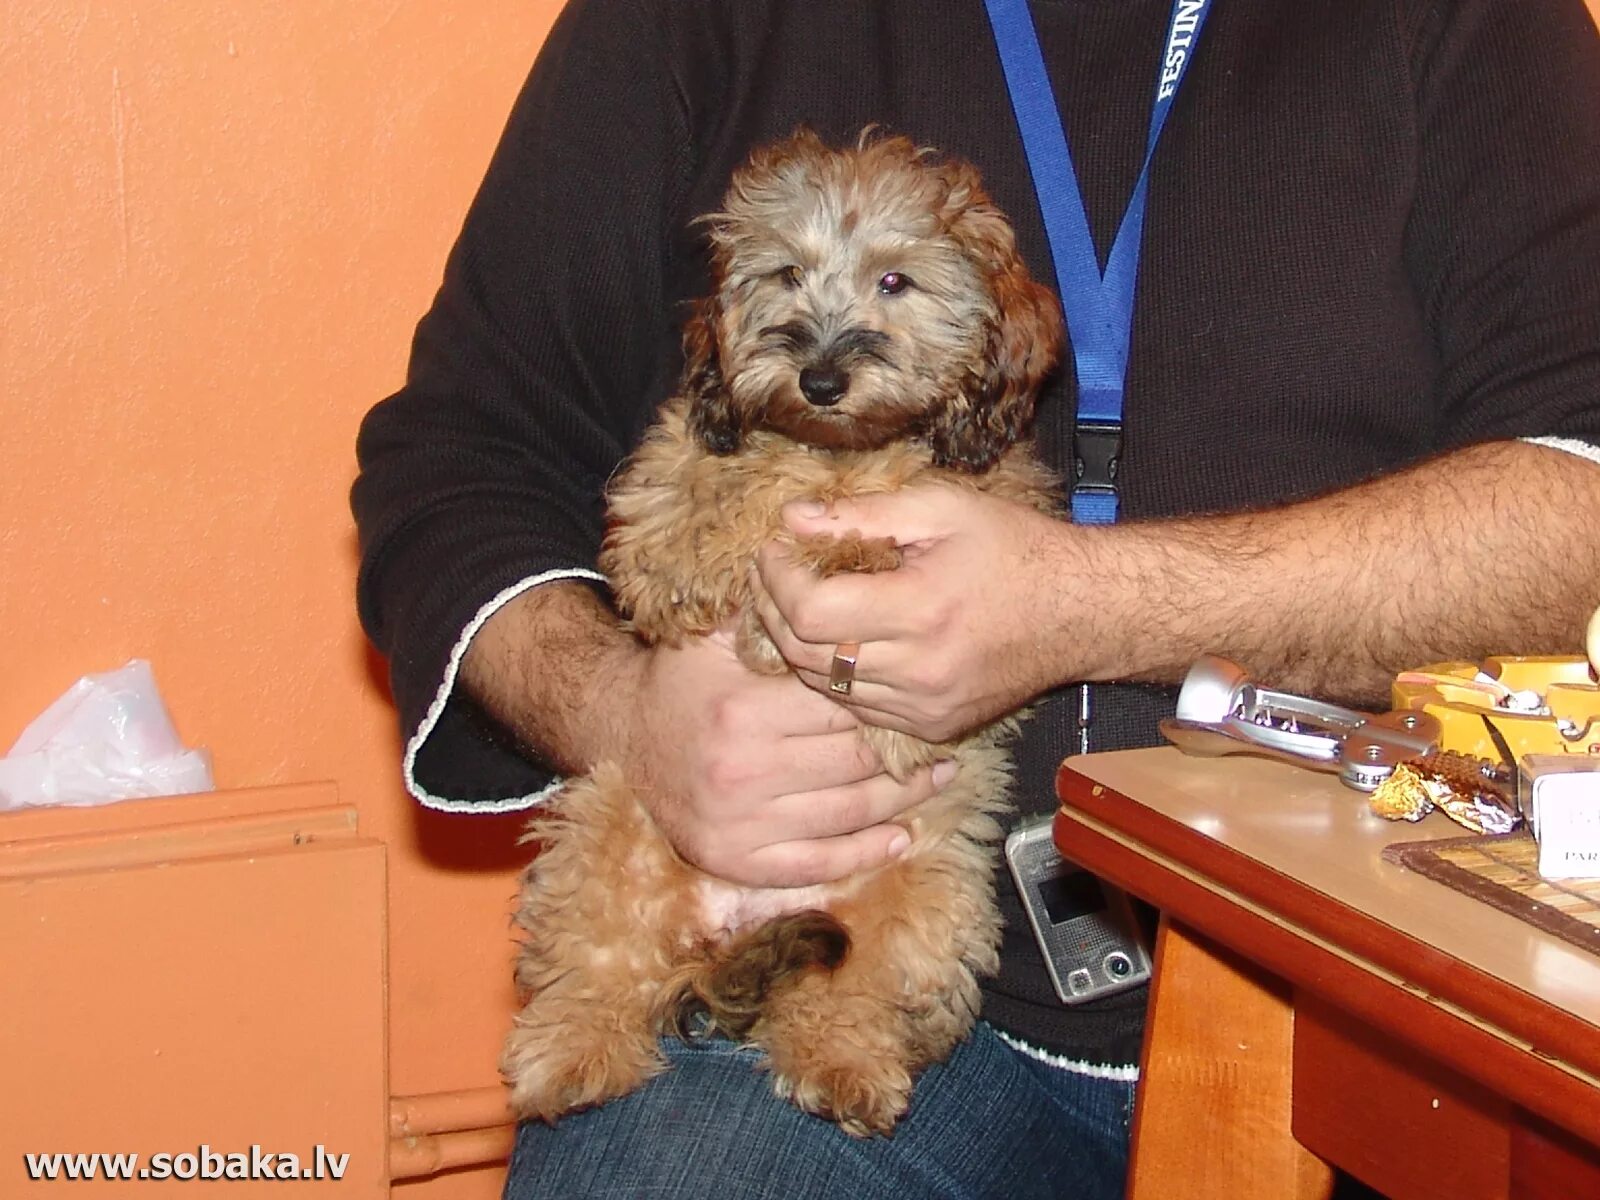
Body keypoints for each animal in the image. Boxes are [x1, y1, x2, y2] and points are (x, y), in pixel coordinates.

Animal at [502, 129, 1062, 1139]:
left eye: (895, 282)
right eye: (784, 273)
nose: (821, 379)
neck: (835, 447)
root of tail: (740, 922)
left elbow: (832, 523)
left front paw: (778, 571)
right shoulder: (687, 451)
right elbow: (690, 486)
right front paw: (688, 557)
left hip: (928, 901)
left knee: (843, 997)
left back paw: (846, 1068)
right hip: (610, 819)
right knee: (600, 965)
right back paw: (571, 1054)